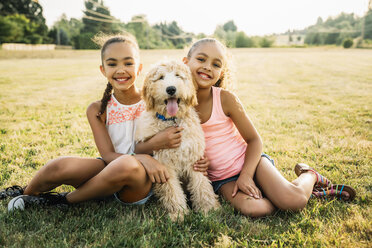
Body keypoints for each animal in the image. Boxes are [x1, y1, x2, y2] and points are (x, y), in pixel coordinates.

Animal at [135, 60, 219, 221]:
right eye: (160, 77)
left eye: (178, 76)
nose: (171, 89)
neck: (172, 120)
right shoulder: (164, 164)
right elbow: (172, 189)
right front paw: (178, 213)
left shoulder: (194, 158)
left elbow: (201, 184)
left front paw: (208, 208)